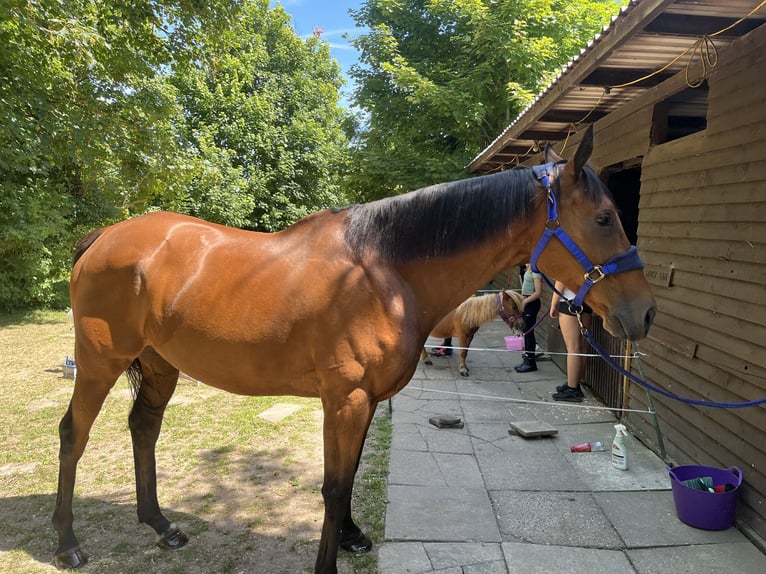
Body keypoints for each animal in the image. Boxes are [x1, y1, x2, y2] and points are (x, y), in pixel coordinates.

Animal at [51, 127, 656, 574]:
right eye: (604, 218)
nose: (645, 313)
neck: (384, 270)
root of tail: (104, 237)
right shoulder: (345, 399)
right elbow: (335, 486)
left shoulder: (364, 401)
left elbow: (349, 476)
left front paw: (351, 537)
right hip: (100, 362)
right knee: (73, 434)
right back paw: (66, 543)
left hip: (159, 364)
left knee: (143, 428)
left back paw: (161, 525)